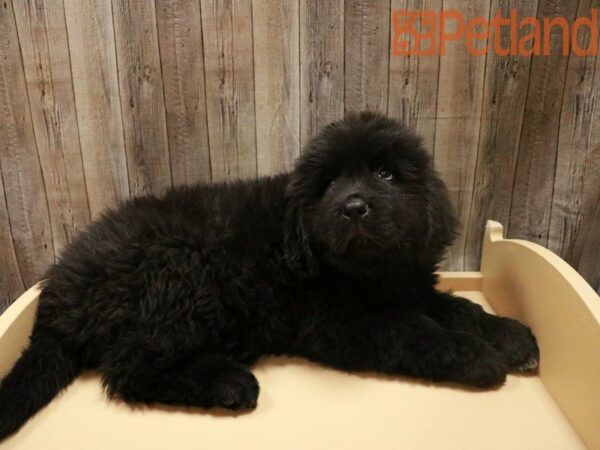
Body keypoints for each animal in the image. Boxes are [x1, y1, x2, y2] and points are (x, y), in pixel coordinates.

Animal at [0, 112, 540, 440]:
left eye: (386, 174)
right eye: (328, 182)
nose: (353, 207)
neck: (365, 272)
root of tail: (57, 291)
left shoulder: (408, 287)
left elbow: (456, 307)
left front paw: (512, 336)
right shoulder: (345, 321)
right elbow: (417, 334)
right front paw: (478, 357)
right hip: (178, 275)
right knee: (129, 367)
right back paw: (228, 381)